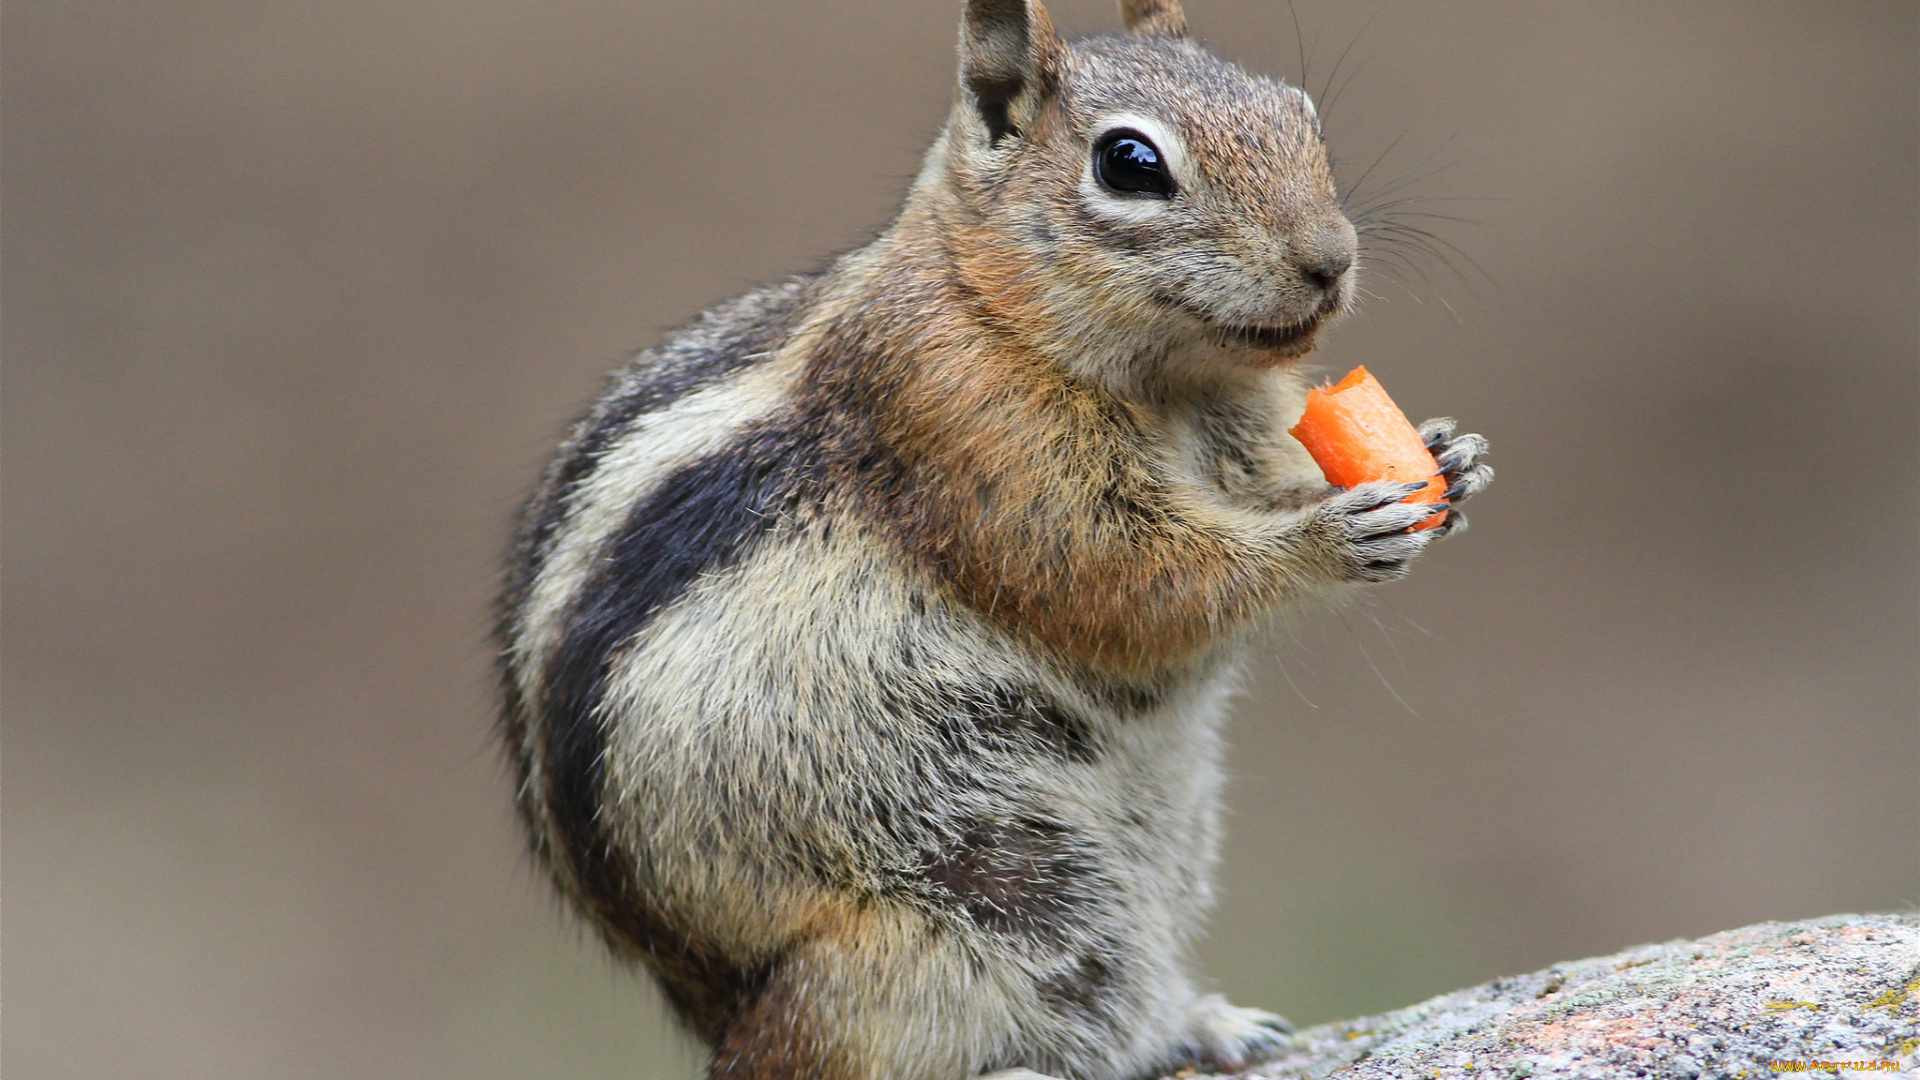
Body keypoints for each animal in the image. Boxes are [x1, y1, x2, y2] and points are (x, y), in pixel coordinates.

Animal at [491, 2, 1482, 1076]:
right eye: (1130, 163)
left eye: (1301, 113)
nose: (1330, 260)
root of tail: (718, 1013)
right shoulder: (972, 432)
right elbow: (1126, 578)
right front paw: (1330, 537)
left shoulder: (1250, 431)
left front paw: (1448, 455)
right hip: (978, 902)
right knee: (838, 1045)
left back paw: (1205, 1024)